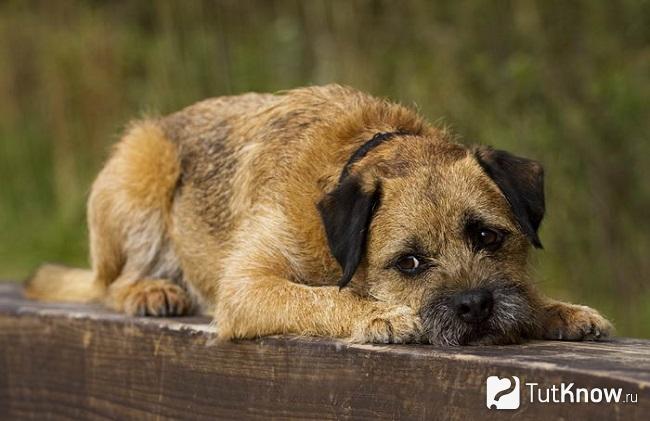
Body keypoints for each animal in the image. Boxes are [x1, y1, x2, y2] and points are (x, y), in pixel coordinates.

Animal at [26, 84, 612, 344]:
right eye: (409, 263)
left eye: (489, 237)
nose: (475, 305)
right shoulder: (248, 285)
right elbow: (320, 297)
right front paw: (380, 315)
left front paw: (555, 309)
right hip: (143, 166)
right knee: (111, 284)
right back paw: (150, 289)